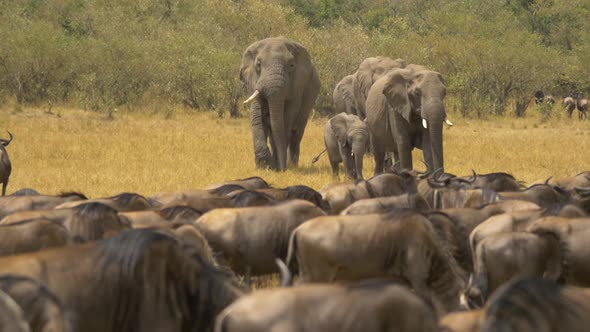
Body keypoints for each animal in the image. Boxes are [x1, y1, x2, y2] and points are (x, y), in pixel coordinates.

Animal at [240, 37, 322, 170]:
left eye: (291, 65)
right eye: (258, 65)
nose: (282, 168)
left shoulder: (296, 86)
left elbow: (286, 118)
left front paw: (275, 166)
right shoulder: (253, 82)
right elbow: (257, 115)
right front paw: (264, 166)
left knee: (296, 132)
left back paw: (292, 165)